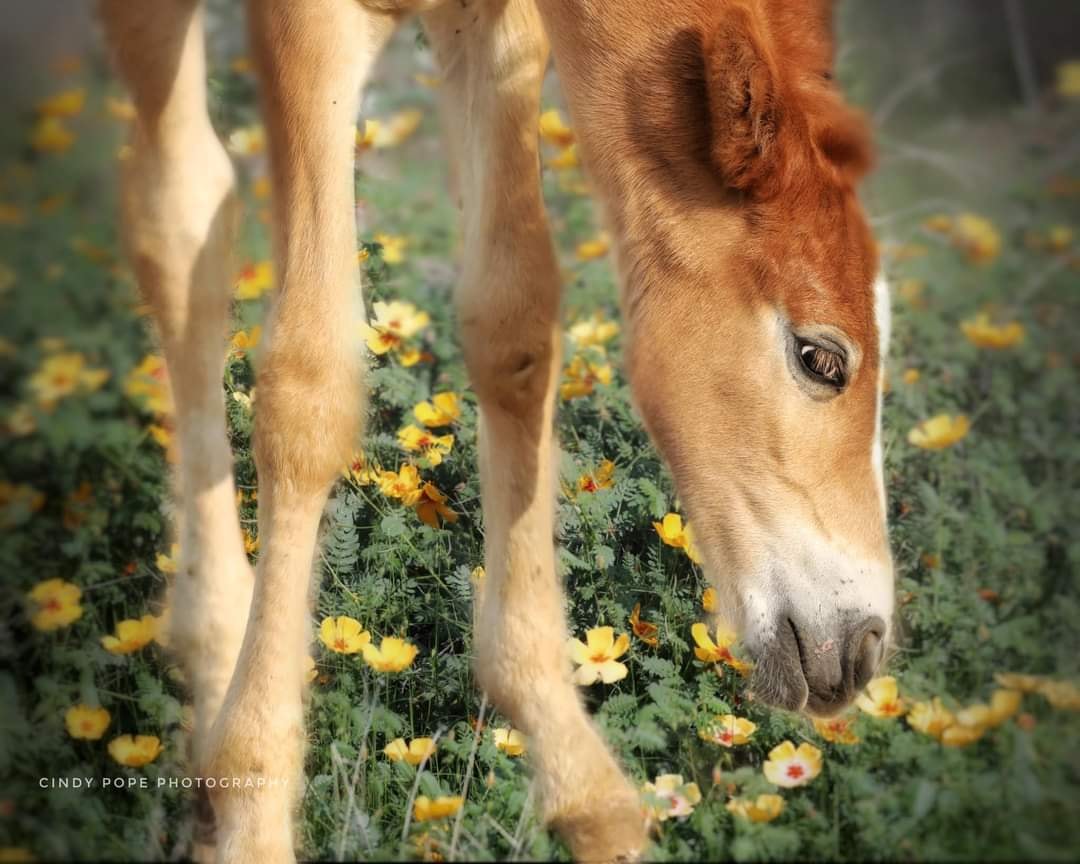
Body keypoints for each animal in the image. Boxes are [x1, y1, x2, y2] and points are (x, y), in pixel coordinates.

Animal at [100, 0, 893, 860]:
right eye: (821, 358)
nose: (863, 647)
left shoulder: (499, 28)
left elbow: (512, 323)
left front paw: (573, 770)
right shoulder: (306, 22)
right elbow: (309, 386)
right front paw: (251, 809)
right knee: (179, 216)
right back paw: (211, 644)